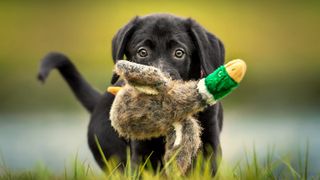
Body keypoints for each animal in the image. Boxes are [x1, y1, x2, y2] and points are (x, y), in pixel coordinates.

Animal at [38, 14, 225, 176]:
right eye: (142, 52)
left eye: (179, 53)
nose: (158, 81)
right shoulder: (141, 149)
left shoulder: (210, 142)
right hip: (110, 153)